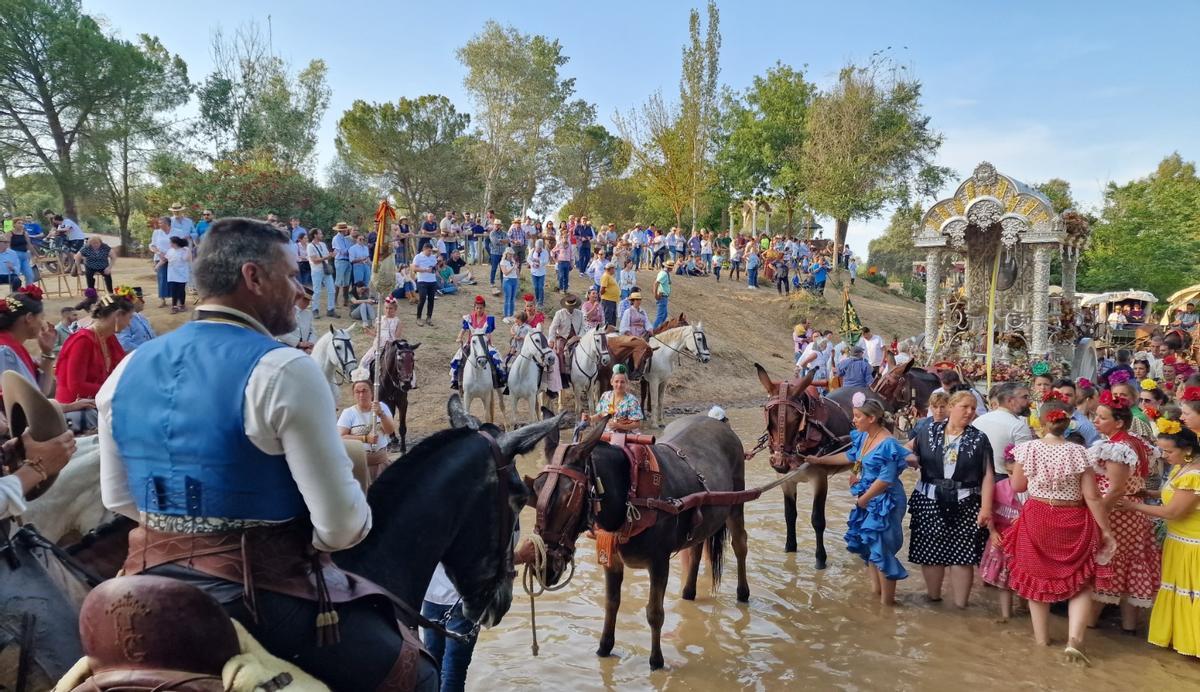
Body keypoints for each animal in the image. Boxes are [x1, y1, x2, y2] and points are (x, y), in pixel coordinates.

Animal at [530, 412, 744, 666]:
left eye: (569, 496)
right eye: (536, 487)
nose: (544, 567)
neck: (628, 497)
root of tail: (719, 423)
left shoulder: (660, 562)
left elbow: (654, 613)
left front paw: (656, 661)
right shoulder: (611, 559)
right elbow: (611, 604)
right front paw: (604, 649)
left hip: (736, 504)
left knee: (740, 545)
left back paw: (743, 594)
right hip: (704, 518)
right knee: (696, 549)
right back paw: (688, 592)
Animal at [758, 362, 854, 566]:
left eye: (797, 418)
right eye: (769, 417)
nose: (779, 462)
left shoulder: (820, 479)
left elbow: (817, 520)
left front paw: (820, 559)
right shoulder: (785, 480)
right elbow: (789, 515)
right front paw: (790, 549)